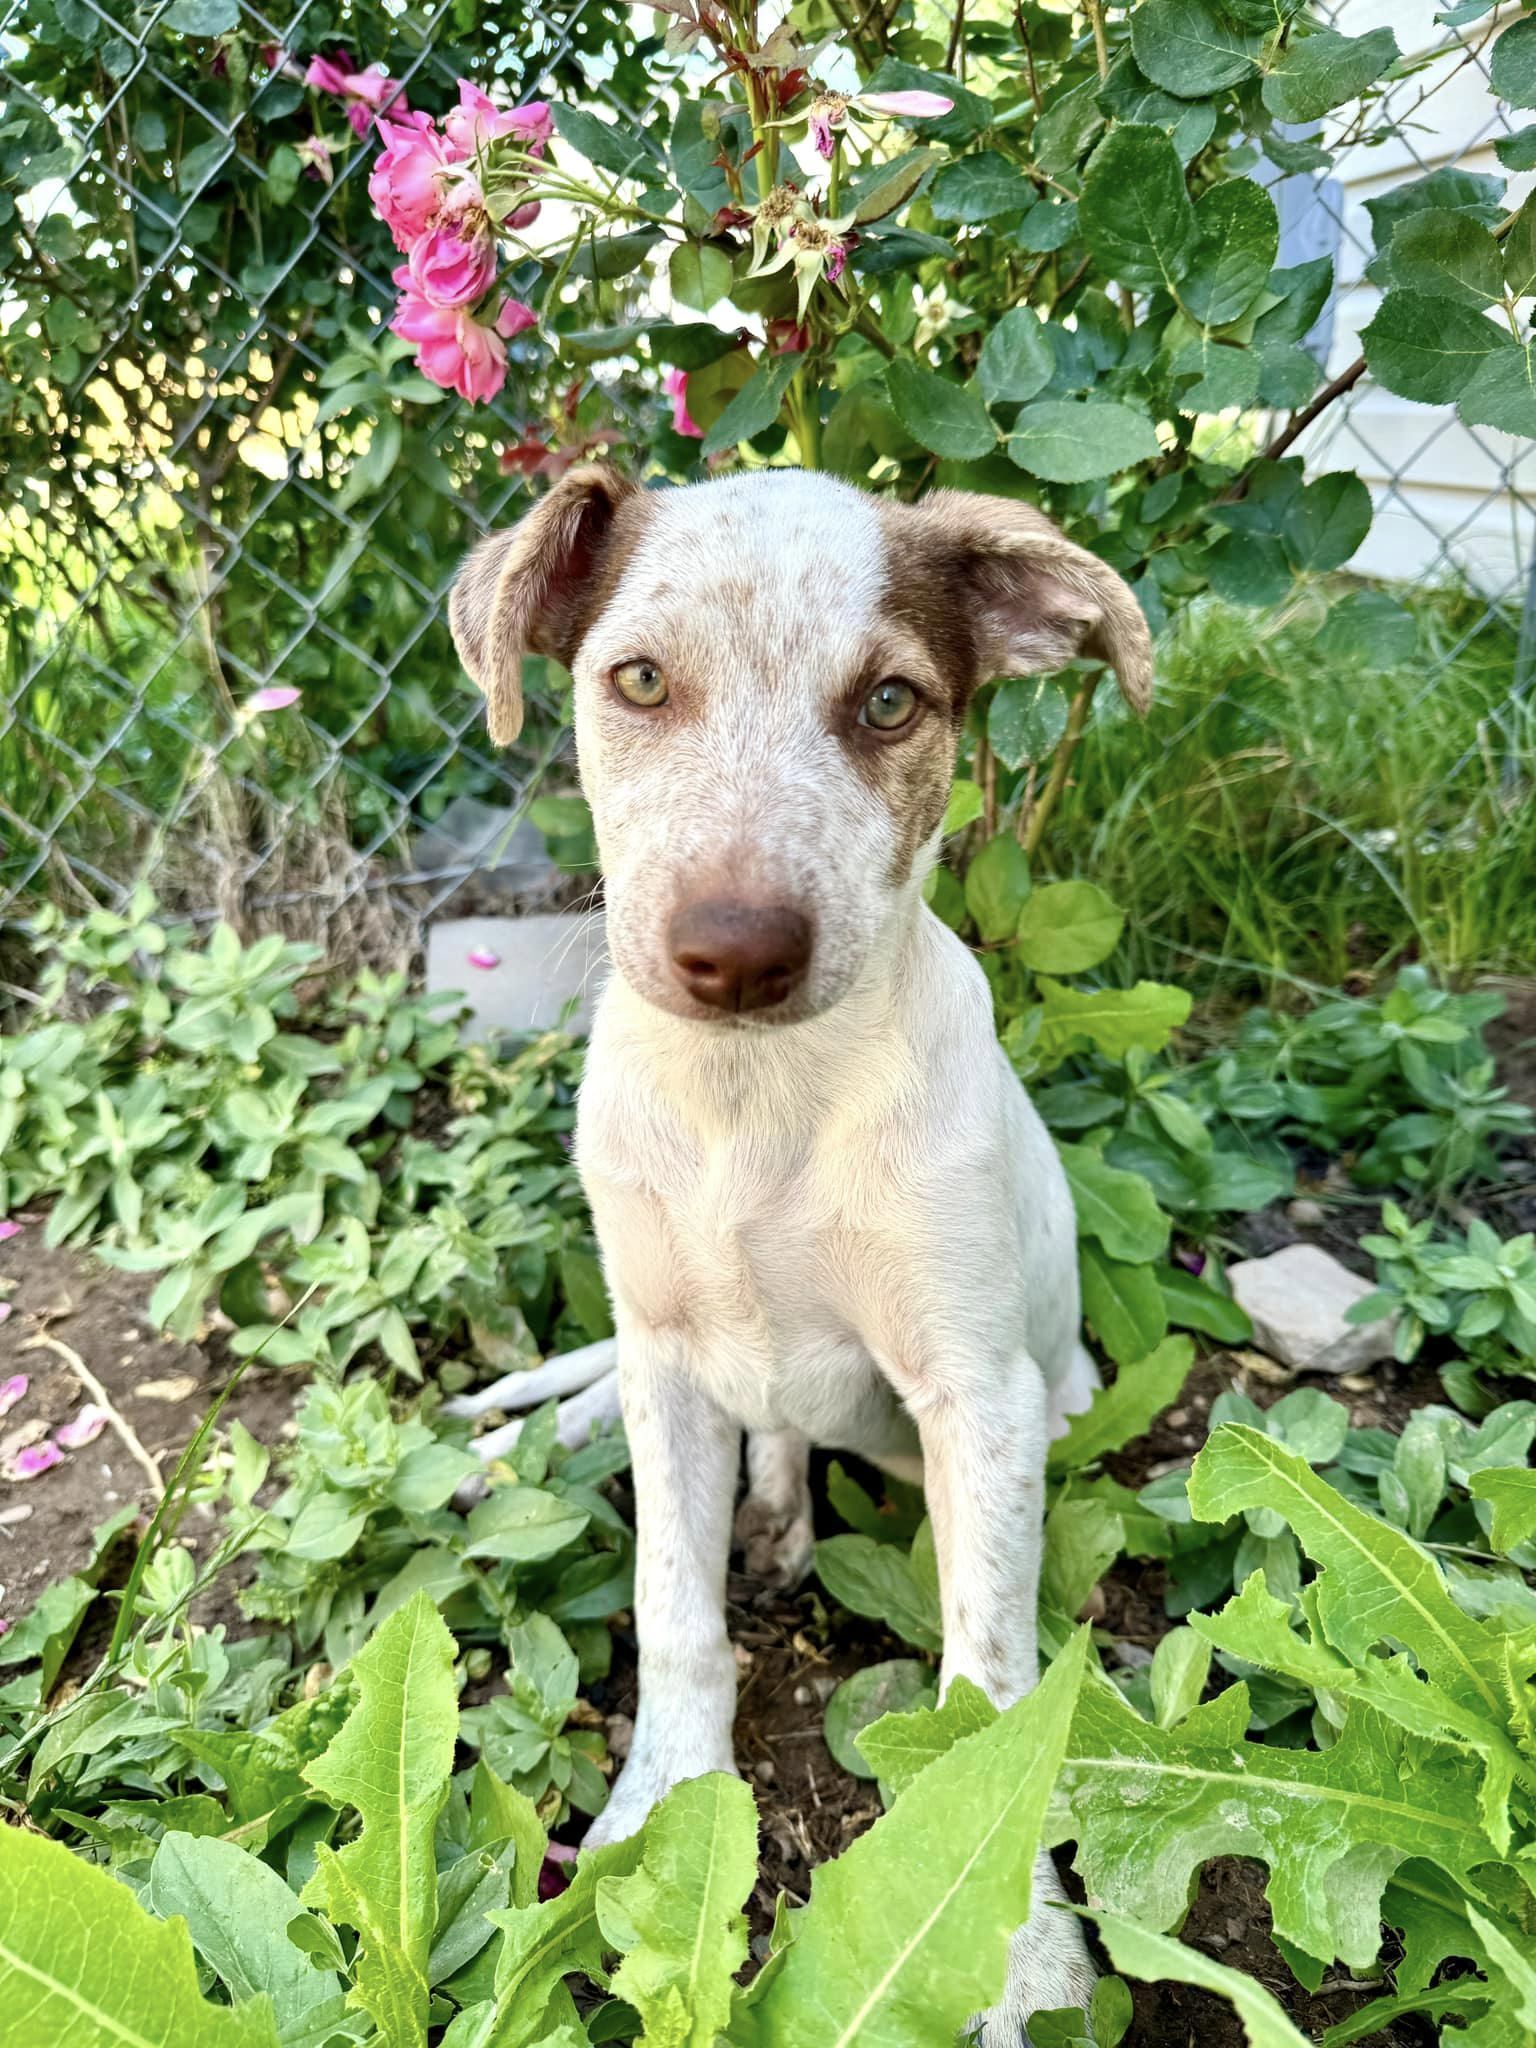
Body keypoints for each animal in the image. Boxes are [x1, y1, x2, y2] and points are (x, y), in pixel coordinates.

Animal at [444, 471, 1155, 2039]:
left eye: (890, 702)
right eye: (639, 681)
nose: (734, 952)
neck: (754, 1107)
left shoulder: (981, 1397)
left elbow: (989, 1689)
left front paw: (1020, 1945)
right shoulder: (664, 1354)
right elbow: (671, 1611)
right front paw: (659, 1806)